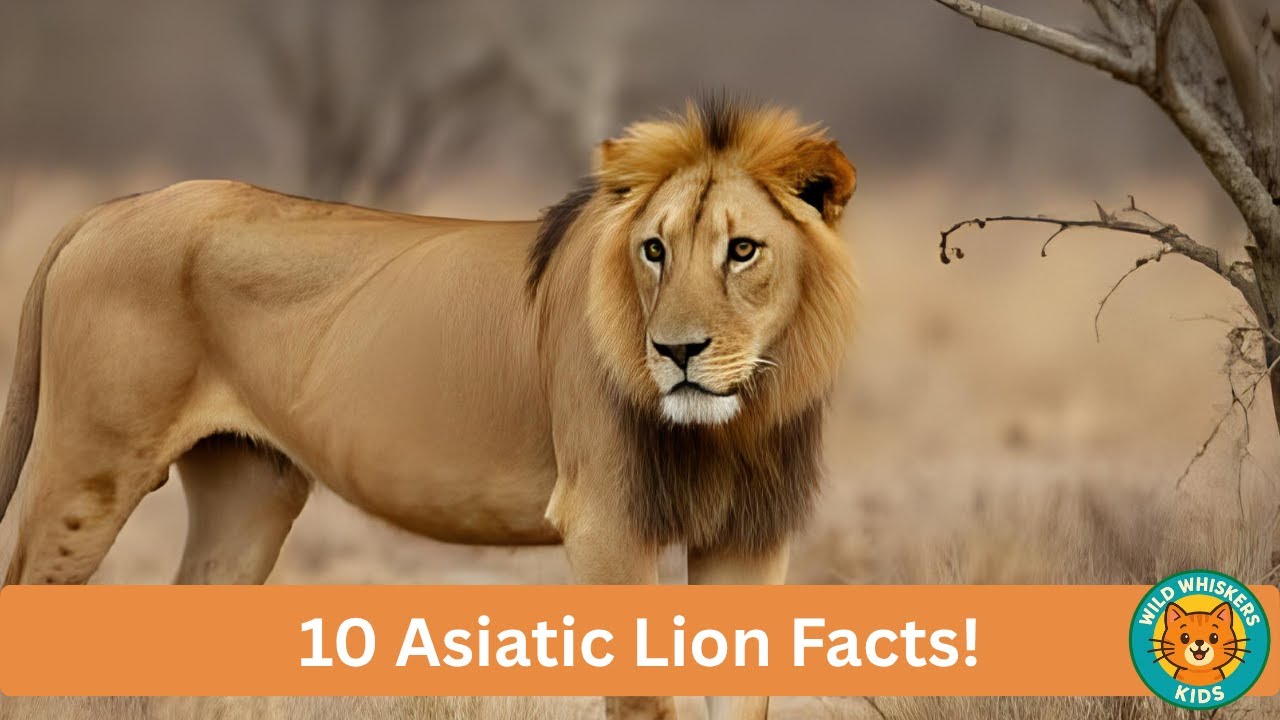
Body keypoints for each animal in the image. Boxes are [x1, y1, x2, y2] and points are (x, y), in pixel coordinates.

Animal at [0, 97, 856, 720]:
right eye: (654, 249)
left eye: (741, 250)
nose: (677, 352)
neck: (739, 422)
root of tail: (112, 207)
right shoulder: (606, 522)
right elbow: (646, 699)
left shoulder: (750, 534)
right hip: (89, 469)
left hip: (248, 493)